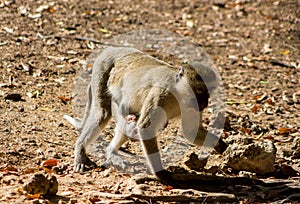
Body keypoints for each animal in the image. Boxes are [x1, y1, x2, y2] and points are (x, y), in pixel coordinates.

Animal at [63, 47, 227, 184]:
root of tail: (114, 49)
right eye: (200, 91)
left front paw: (222, 146)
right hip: (102, 70)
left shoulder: (192, 107)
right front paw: (160, 174)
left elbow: (190, 132)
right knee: (102, 114)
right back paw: (81, 149)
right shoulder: (161, 93)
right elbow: (145, 128)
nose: (205, 103)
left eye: (209, 92)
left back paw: (111, 152)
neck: (179, 93)